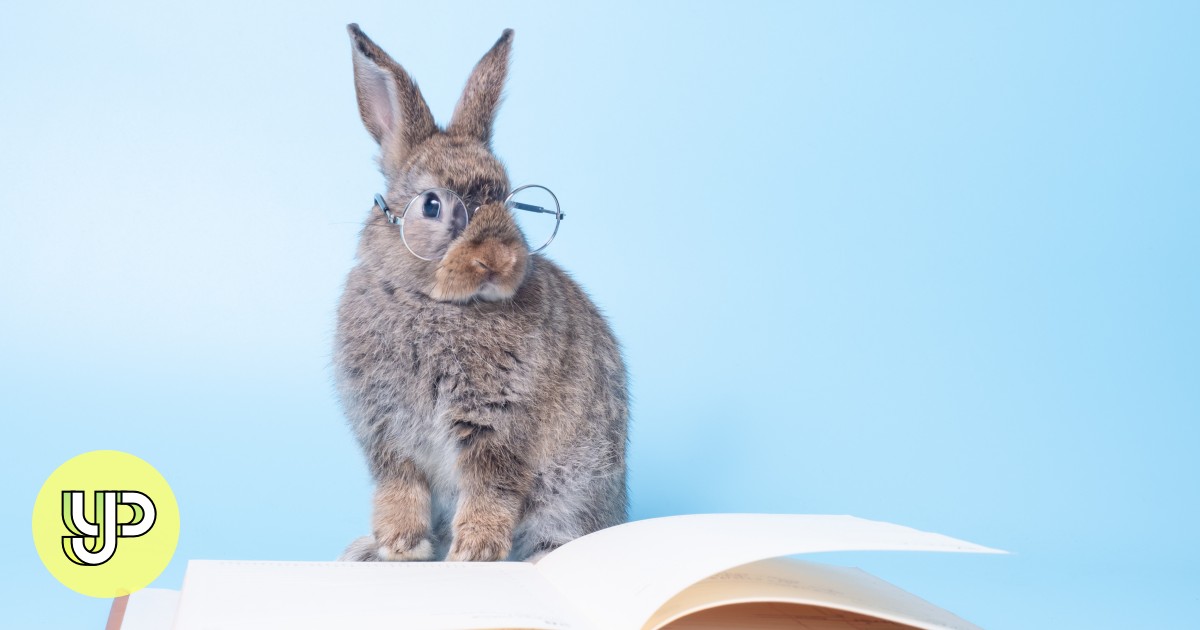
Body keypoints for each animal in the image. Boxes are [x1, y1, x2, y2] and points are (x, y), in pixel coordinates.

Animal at [334, 24, 629, 563]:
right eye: (433, 205)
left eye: (510, 201)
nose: (498, 260)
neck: (433, 303)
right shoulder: (388, 433)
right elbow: (400, 489)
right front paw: (399, 547)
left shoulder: (497, 424)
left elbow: (490, 488)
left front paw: (473, 553)